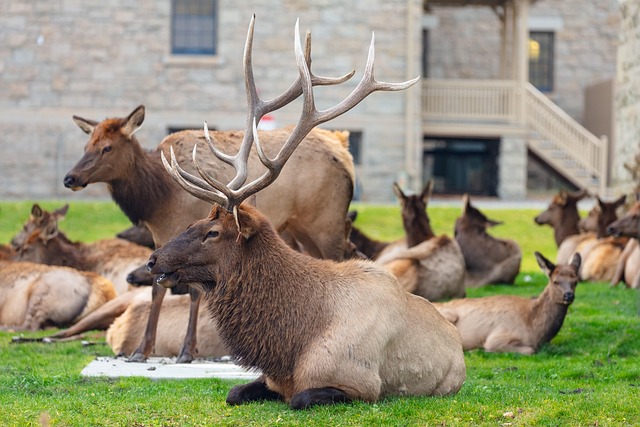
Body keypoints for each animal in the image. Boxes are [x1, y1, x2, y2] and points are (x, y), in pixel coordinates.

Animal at [63, 16, 358, 363]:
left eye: (107, 148)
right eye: (87, 144)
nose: (70, 178)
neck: (156, 200)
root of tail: (343, 149)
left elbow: (192, 291)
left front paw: (186, 351)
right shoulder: (162, 237)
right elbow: (158, 287)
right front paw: (141, 350)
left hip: (326, 222)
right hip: (301, 228)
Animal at [146, 17, 465, 410]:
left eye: (213, 233)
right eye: (194, 222)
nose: (153, 259)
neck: (290, 347)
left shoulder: (360, 384)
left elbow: (299, 398)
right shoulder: (269, 378)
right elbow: (234, 392)